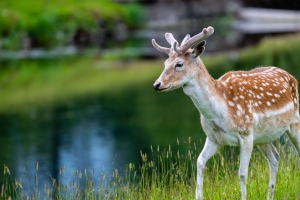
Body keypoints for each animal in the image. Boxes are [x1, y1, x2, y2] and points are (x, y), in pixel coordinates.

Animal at [151, 26, 300, 200]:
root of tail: (291, 77)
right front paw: (199, 196)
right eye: (165, 63)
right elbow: (200, 162)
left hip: (294, 121)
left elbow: (242, 173)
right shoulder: (214, 138)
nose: (157, 84)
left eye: (179, 64)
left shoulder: (246, 134)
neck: (221, 112)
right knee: (275, 157)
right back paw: (270, 196)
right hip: (263, 136)